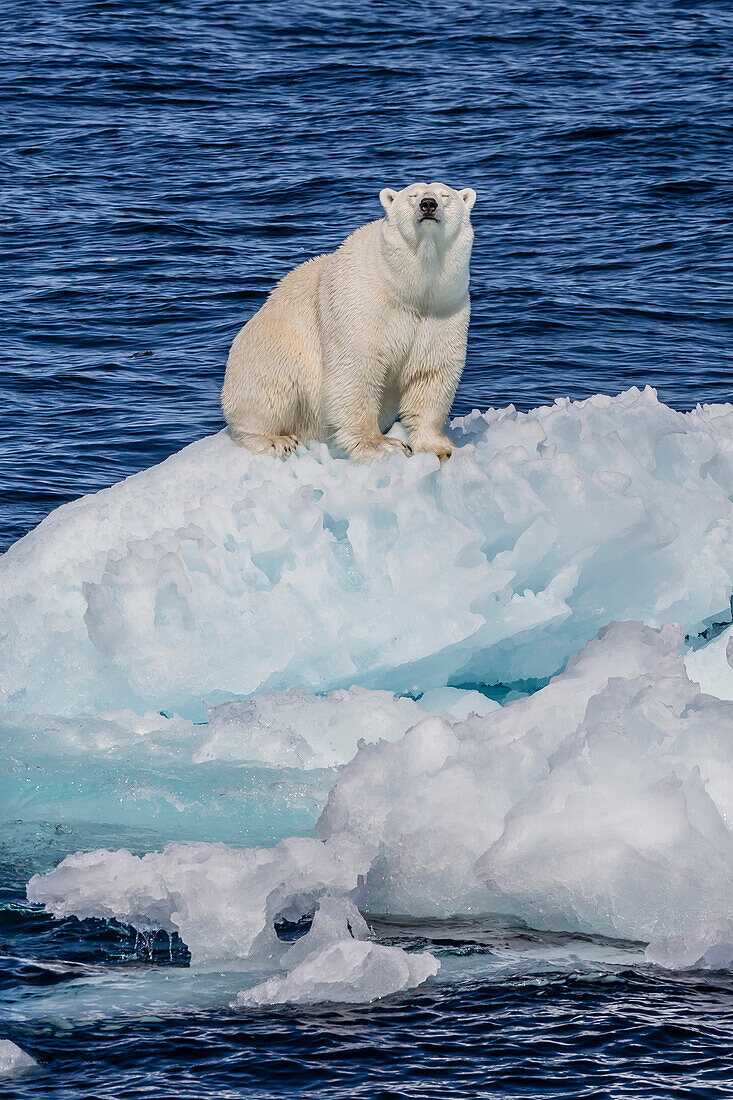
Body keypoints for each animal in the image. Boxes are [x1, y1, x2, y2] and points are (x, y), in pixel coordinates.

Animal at [220, 180, 477, 459]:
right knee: (271, 390)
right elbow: (356, 368)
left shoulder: (443, 308)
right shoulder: (363, 301)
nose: (428, 204)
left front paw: (442, 448)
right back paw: (274, 440)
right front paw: (382, 444)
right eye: (413, 196)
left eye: (445, 196)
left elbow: (431, 372)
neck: (408, 288)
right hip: (268, 346)